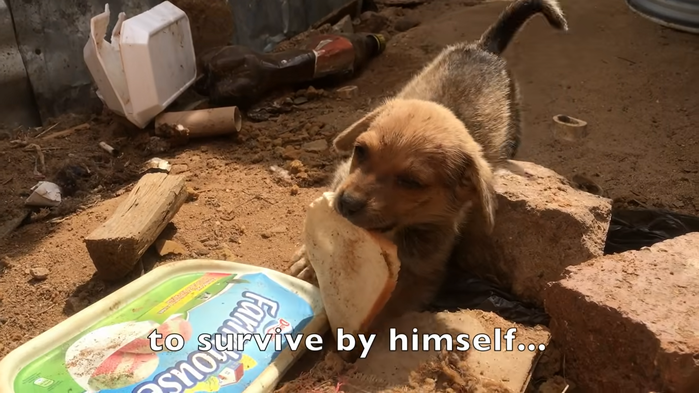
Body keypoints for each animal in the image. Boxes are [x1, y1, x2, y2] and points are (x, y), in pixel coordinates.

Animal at [290, 0, 568, 318]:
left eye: (411, 182)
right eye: (360, 151)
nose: (346, 203)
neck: (399, 231)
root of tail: (485, 49)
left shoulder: (423, 275)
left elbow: (390, 308)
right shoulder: (340, 178)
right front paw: (307, 260)